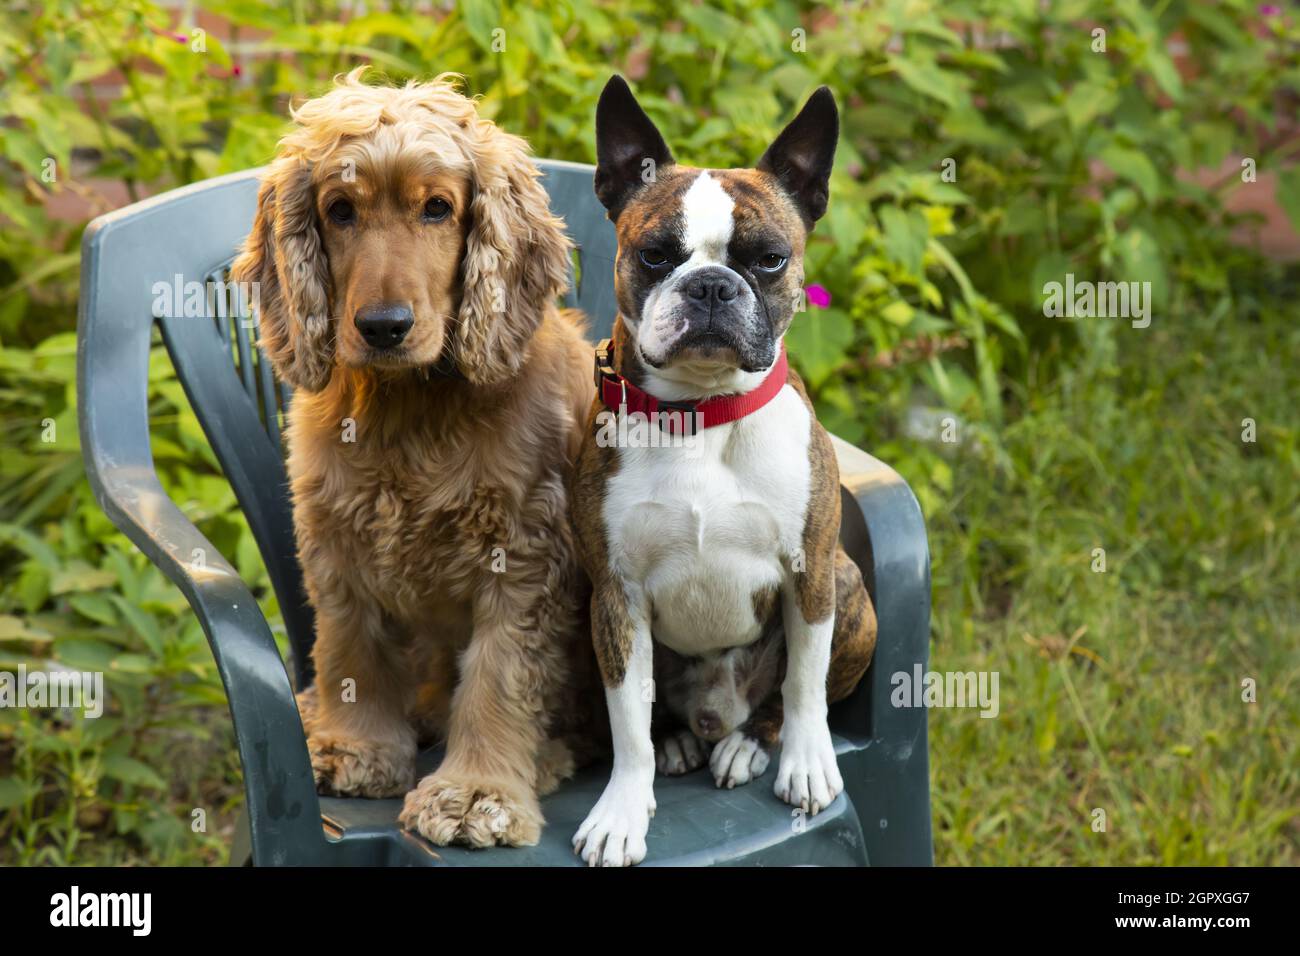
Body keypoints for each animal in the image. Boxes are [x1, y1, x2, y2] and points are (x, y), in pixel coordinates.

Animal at [569, 76, 873, 868]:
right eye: (653, 255)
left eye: (769, 259)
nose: (709, 286)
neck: (702, 415)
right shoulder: (615, 597)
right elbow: (627, 724)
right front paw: (623, 810)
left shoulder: (812, 573)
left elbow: (804, 685)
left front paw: (807, 763)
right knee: (654, 716)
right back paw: (681, 741)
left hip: (851, 589)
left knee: (774, 702)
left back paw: (747, 745)